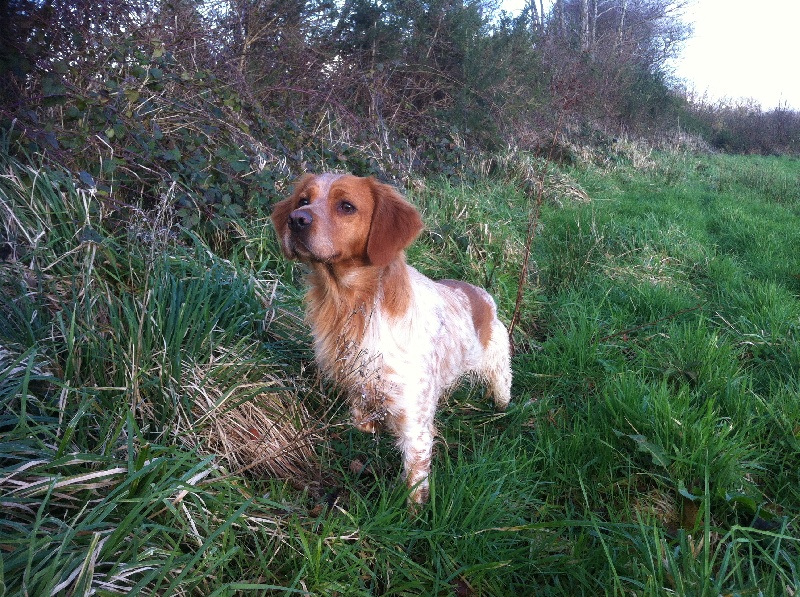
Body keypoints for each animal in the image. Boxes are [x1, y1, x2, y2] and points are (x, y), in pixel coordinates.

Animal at [270, 172, 512, 502]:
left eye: (346, 206)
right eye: (303, 200)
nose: (296, 219)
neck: (355, 307)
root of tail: (482, 295)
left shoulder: (415, 422)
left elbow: (415, 483)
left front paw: (414, 511)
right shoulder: (359, 395)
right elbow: (363, 426)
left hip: (498, 369)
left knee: (502, 389)